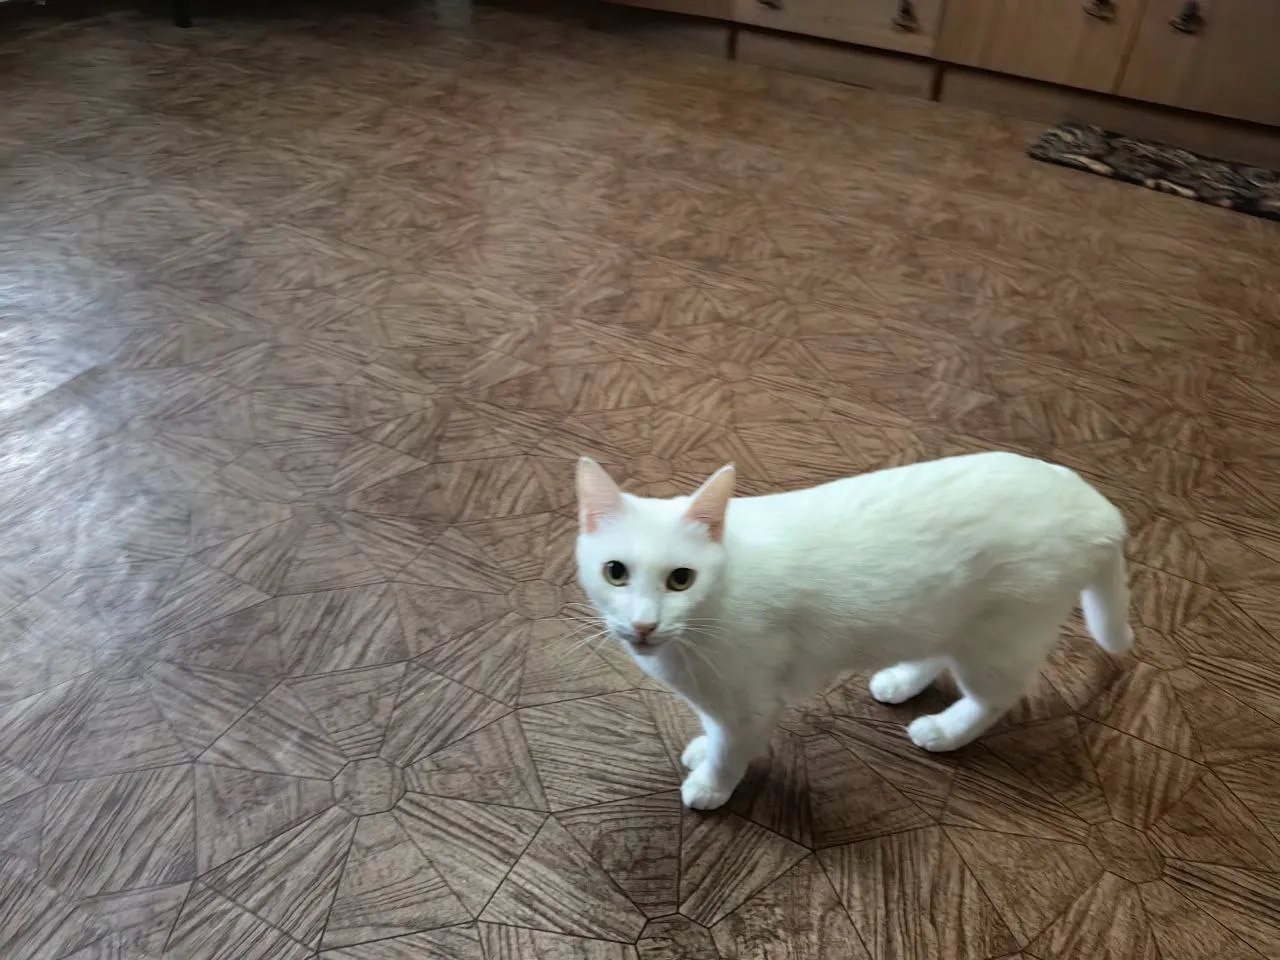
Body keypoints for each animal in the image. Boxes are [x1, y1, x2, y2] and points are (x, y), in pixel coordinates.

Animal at [578, 453, 1131, 814]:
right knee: (935, 651)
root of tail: (1100, 507)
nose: (644, 624)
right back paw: (901, 681)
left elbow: (730, 750)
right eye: (615, 572)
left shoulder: (752, 704)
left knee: (993, 699)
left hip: (997, 641)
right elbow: (715, 733)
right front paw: (700, 749)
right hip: (943, 613)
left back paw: (944, 731)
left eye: (680, 579)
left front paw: (711, 786)